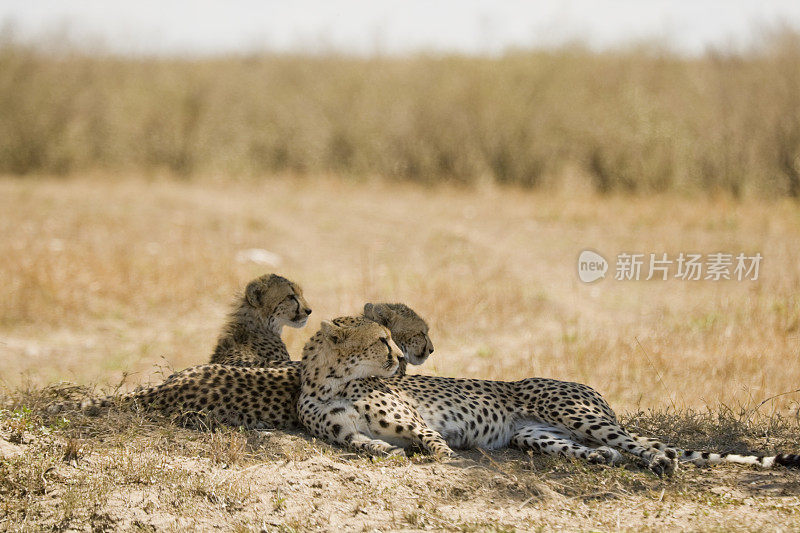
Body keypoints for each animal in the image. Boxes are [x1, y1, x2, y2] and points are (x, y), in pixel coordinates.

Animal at [296, 316, 796, 474]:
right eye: (382, 340)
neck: (332, 380)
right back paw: (600, 458)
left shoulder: (415, 421)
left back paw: (659, 462)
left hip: (575, 412)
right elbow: (363, 444)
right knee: (603, 450)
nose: (401, 358)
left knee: (646, 444)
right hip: (531, 434)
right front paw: (383, 451)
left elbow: (434, 443)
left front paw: (445, 460)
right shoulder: (343, 434)